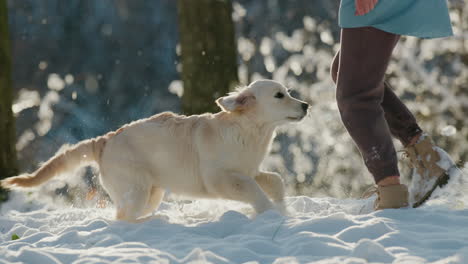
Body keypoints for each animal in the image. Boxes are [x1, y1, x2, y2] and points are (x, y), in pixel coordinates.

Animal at [1, 79, 308, 222]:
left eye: (288, 92)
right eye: (279, 95)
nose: (306, 105)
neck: (249, 130)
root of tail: (105, 140)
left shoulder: (250, 170)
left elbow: (274, 180)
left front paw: (283, 209)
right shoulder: (220, 179)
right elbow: (253, 189)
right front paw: (270, 213)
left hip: (152, 192)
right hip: (136, 191)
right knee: (122, 219)